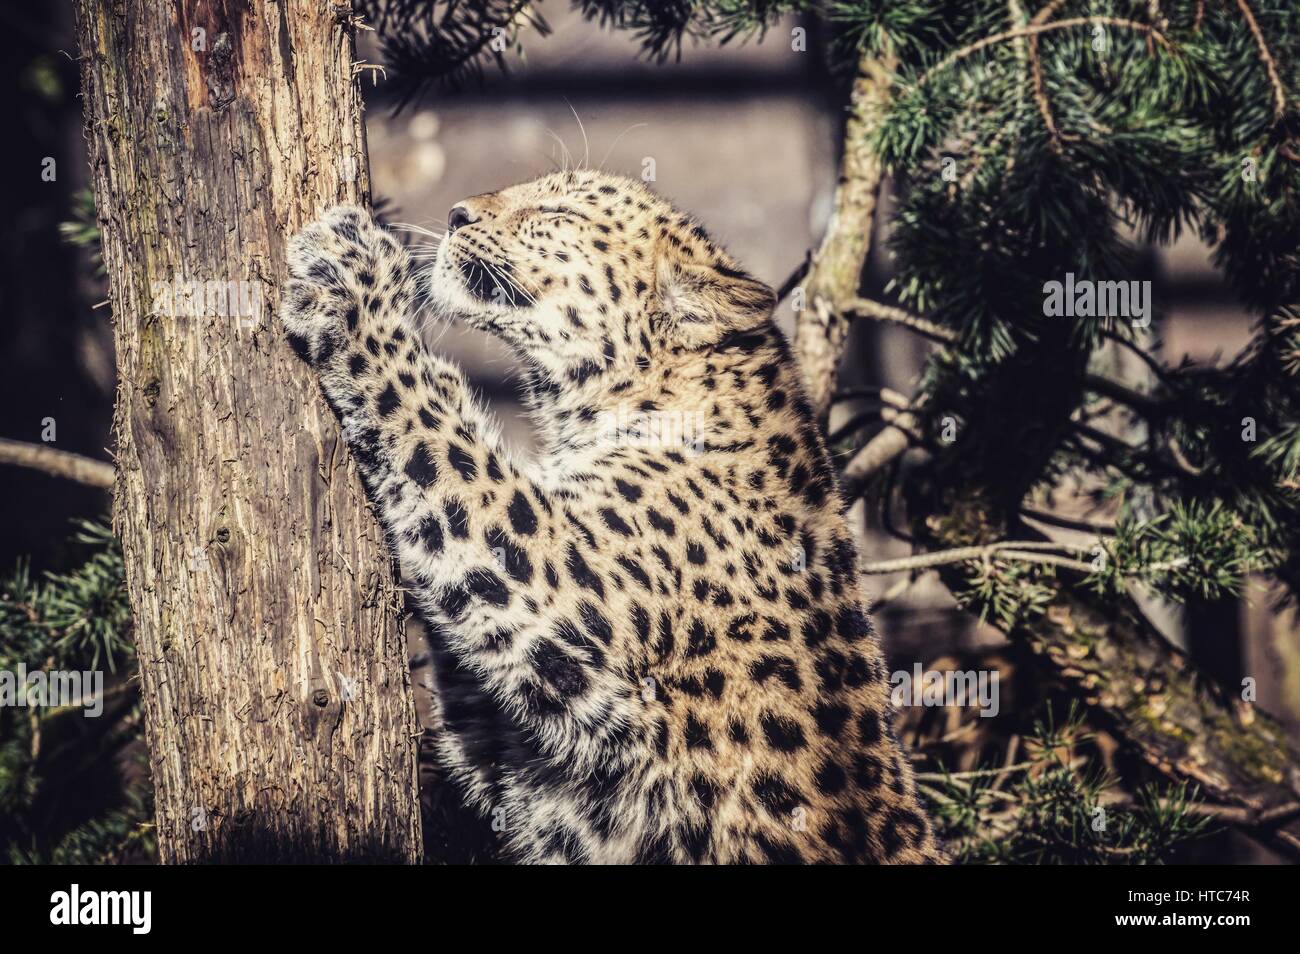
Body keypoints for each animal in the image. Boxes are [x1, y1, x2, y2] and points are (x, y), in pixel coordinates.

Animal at [278, 170, 943, 864]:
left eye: (556, 210)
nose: (459, 213)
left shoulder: (564, 571)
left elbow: (441, 429)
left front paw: (355, 270)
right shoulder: (525, 744)